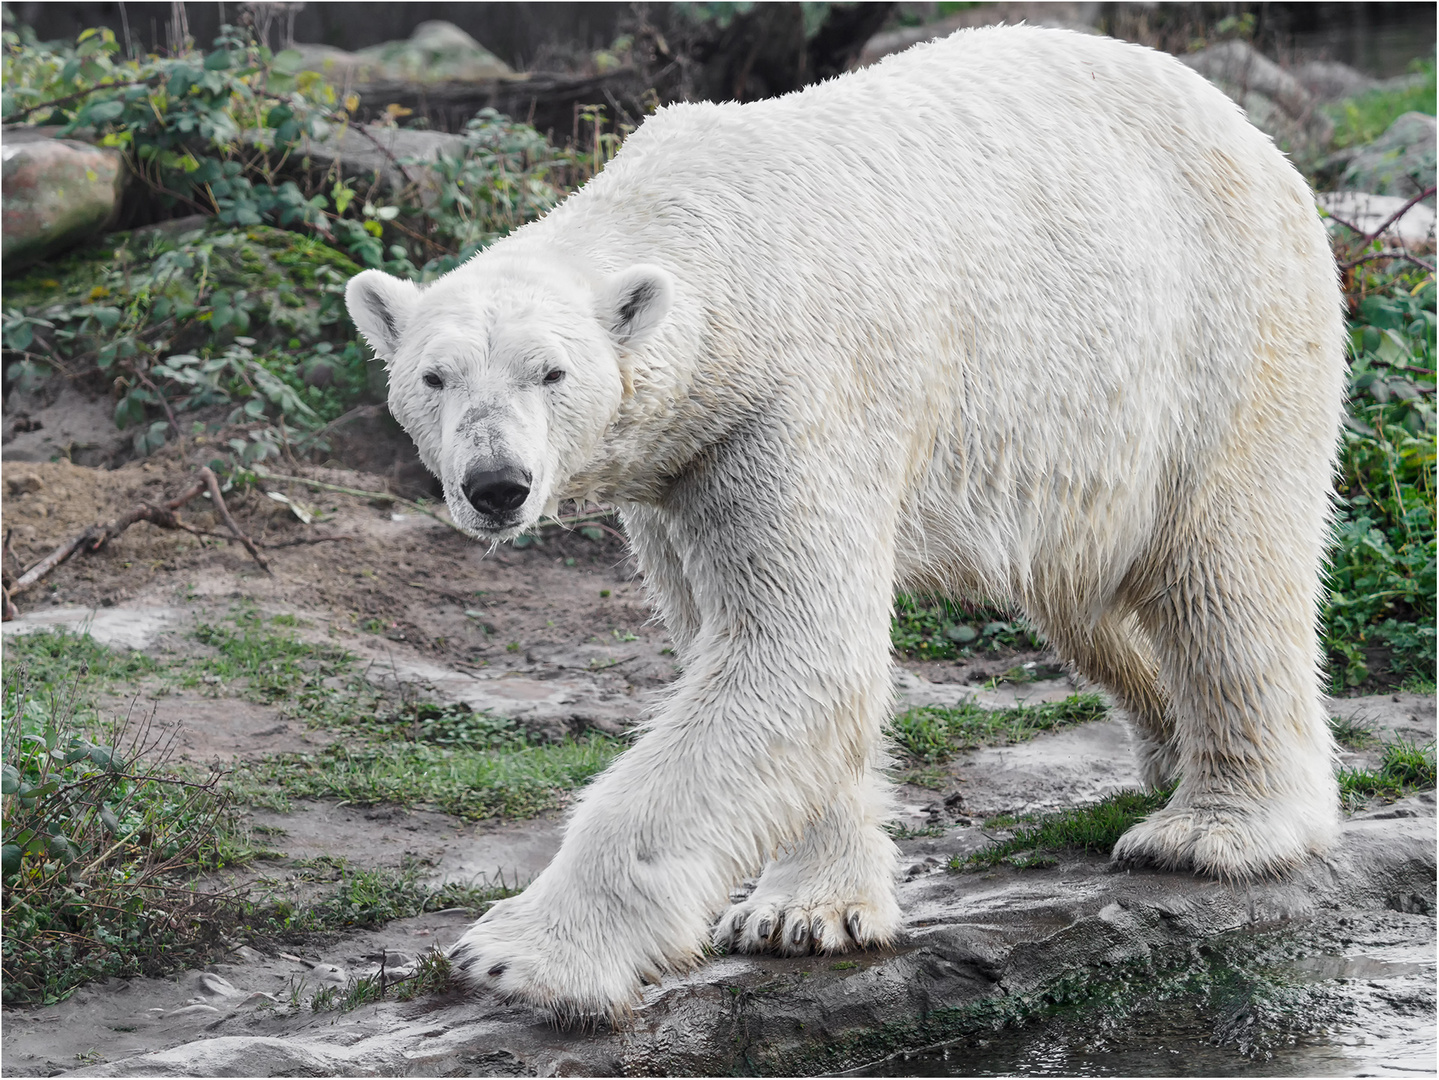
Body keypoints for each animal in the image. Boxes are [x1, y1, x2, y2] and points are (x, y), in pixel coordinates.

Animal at [348, 25, 1346, 1023]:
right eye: (435, 377)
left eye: (550, 372)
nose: (496, 485)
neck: (713, 240)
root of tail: (1243, 128)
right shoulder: (682, 466)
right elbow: (749, 654)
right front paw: (804, 914)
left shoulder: (793, 403)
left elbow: (799, 651)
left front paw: (516, 956)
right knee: (1085, 593)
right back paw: (1166, 749)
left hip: (1220, 333)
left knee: (1223, 575)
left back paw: (1213, 829)